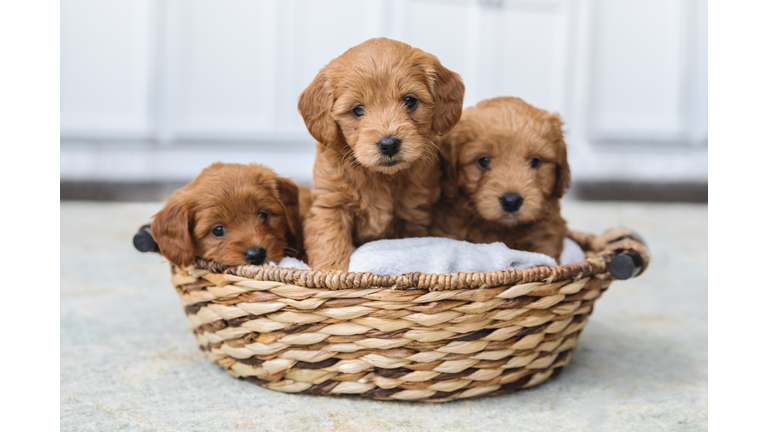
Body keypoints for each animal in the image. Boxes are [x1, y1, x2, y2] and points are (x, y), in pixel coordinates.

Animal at [296, 38, 464, 272]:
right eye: (357, 109)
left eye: (410, 101)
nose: (389, 144)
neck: (382, 177)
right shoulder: (330, 205)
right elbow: (330, 242)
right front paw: (331, 272)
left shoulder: (414, 216)